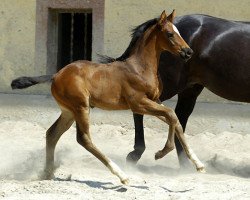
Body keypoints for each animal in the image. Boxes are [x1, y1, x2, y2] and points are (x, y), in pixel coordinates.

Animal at [11, 10, 205, 184]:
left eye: (179, 32)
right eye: (170, 34)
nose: (188, 52)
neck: (139, 68)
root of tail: (56, 74)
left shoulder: (154, 101)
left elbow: (175, 120)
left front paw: (198, 164)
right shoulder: (138, 103)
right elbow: (171, 115)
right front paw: (161, 152)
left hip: (69, 111)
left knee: (52, 134)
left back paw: (48, 173)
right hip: (81, 107)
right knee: (84, 139)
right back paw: (122, 175)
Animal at [99, 14, 250, 166]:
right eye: (170, 34)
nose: (187, 52)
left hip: (190, 89)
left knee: (178, 118)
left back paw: (185, 165)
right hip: (167, 87)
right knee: (147, 111)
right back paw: (136, 154)